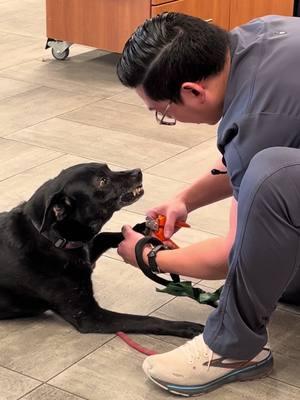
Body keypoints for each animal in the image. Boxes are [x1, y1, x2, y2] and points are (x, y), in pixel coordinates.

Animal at [0, 162, 204, 338]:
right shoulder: (90, 316)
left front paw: (141, 229)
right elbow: (145, 320)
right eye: (102, 181)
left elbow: (105, 235)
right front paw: (186, 327)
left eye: (107, 168)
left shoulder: (87, 250)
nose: (137, 171)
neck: (51, 239)